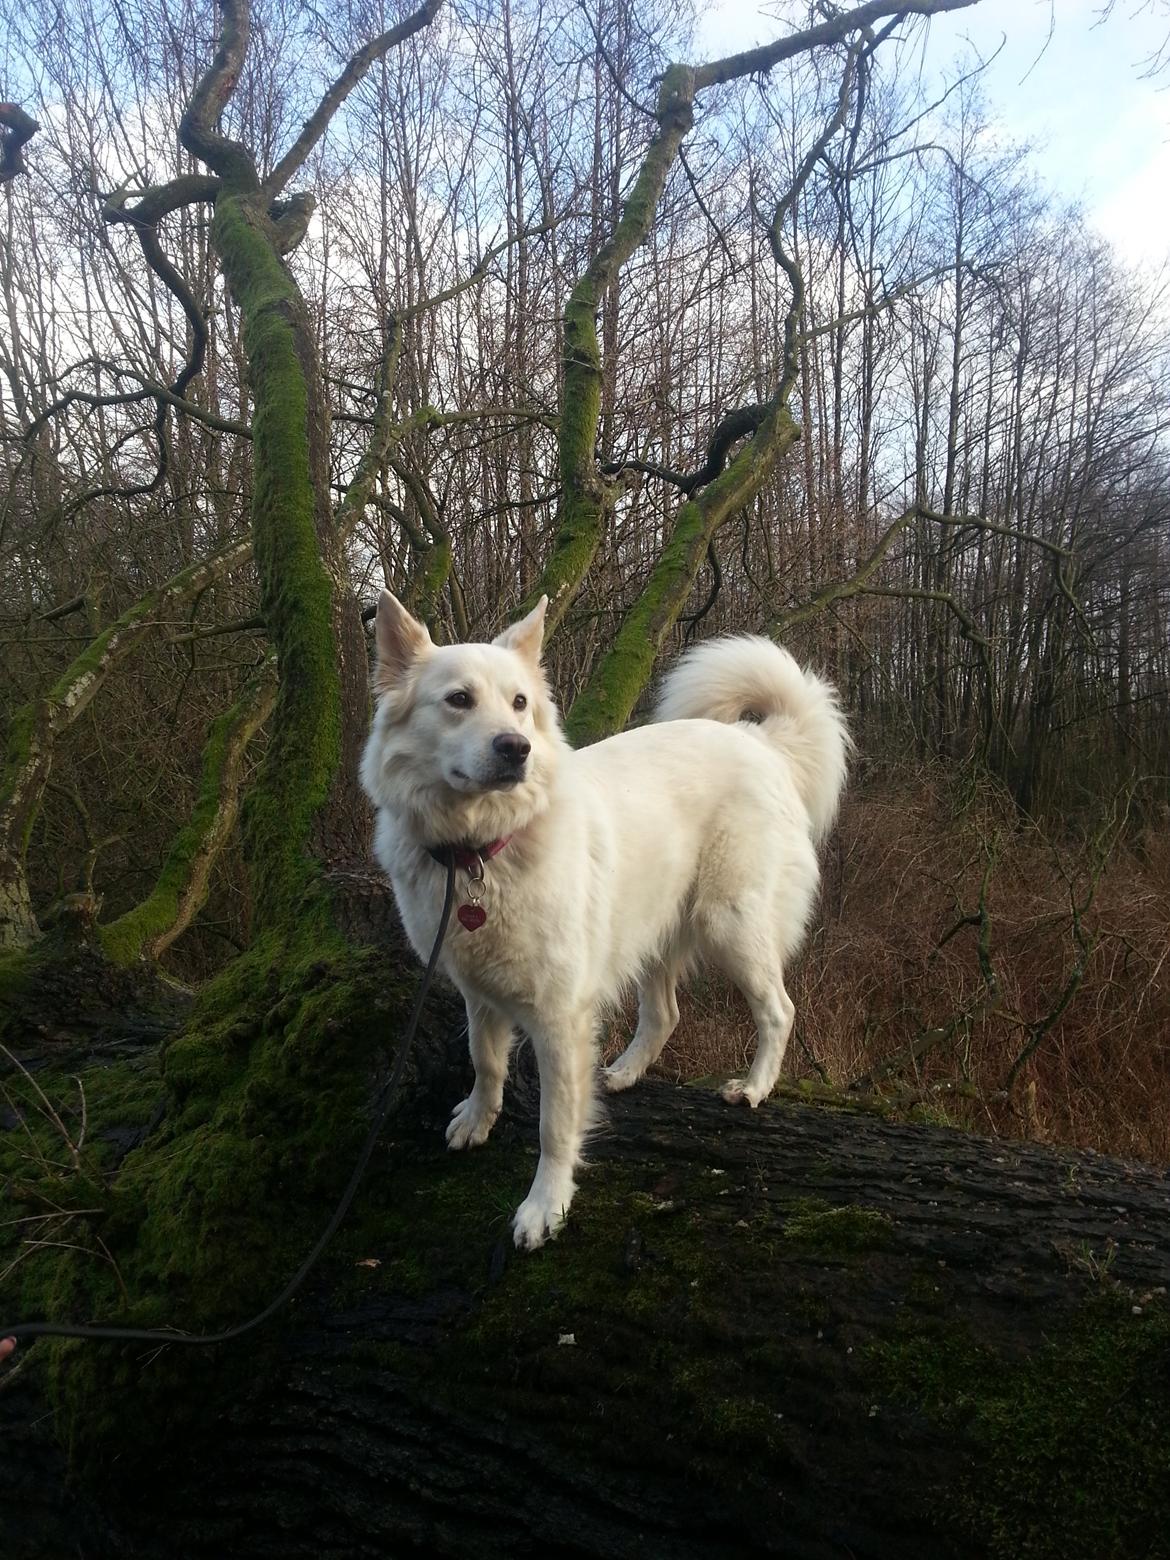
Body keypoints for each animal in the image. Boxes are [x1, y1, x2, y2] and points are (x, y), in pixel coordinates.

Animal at [360, 589, 854, 1248]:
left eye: (520, 704)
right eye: (458, 699)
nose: (516, 748)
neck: (482, 850)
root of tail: (760, 741)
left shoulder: (559, 1016)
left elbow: (555, 1124)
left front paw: (545, 1206)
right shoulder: (479, 990)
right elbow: (485, 1061)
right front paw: (477, 1119)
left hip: (732, 927)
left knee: (779, 1009)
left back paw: (752, 1087)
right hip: (653, 931)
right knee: (666, 1014)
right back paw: (623, 1073)